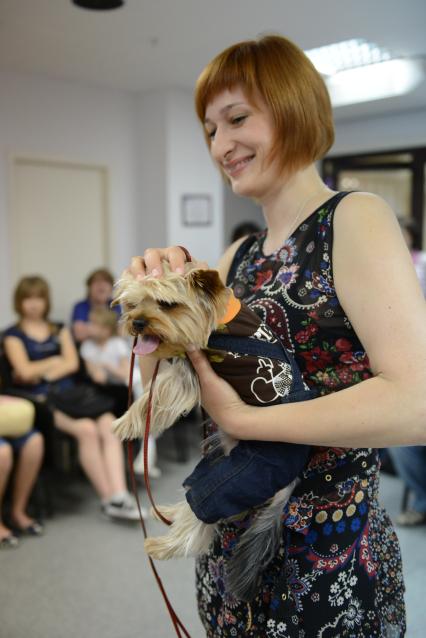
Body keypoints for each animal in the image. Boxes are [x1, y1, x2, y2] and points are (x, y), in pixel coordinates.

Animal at [111, 262, 310, 604]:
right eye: (133, 304)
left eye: (167, 304)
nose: (136, 323)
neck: (218, 319)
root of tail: (290, 483)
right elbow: (152, 389)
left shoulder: (189, 369)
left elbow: (155, 395)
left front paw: (125, 422)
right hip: (219, 455)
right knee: (205, 497)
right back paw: (169, 510)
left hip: (251, 469)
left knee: (205, 511)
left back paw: (161, 545)